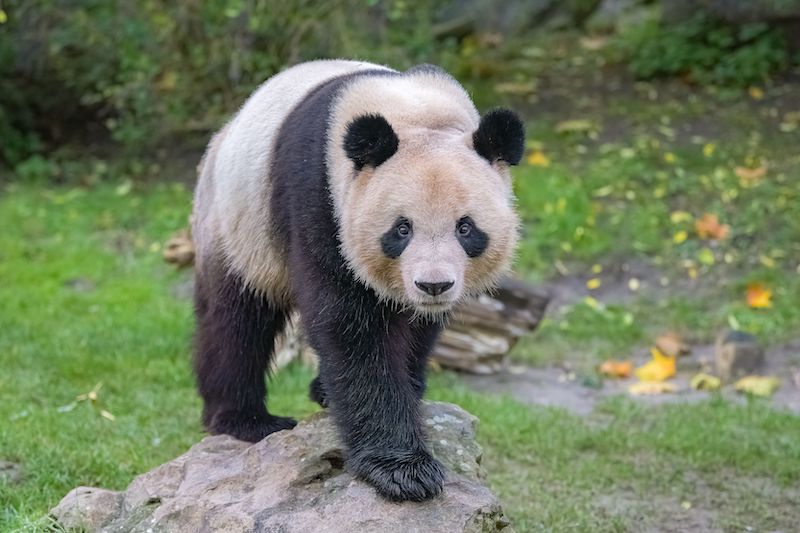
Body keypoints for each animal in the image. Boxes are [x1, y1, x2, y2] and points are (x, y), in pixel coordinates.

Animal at [191, 60, 520, 500]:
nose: (433, 286)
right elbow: (350, 329)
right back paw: (245, 420)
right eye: (402, 229)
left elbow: (417, 331)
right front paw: (404, 471)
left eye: (465, 228)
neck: (415, 112)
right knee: (236, 319)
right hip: (237, 223)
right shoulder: (319, 201)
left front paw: (410, 387)